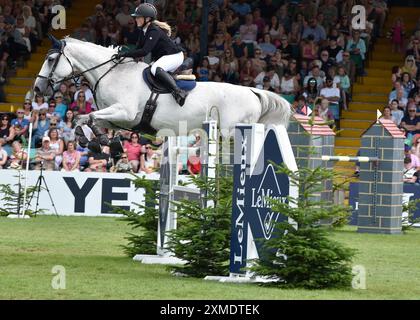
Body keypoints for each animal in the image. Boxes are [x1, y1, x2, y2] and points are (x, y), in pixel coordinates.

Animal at [33, 36, 292, 136]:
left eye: (50, 59)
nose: (36, 89)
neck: (112, 73)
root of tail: (252, 91)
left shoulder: (125, 112)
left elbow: (85, 117)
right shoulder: (118, 119)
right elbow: (87, 119)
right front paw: (101, 142)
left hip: (232, 130)